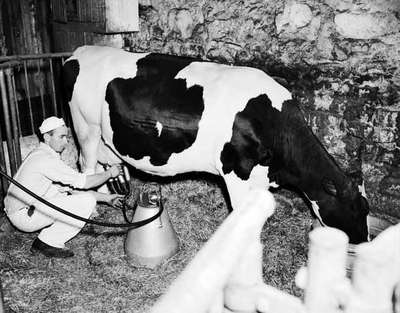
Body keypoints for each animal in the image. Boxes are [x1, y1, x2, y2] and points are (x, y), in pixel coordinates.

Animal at [61, 45, 368, 243]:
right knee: (86, 165)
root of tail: (79, 52)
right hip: (86, 126)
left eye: (367, 209)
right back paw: (93, 207)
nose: (363, 242)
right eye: (355, 210)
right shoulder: (236, 172)